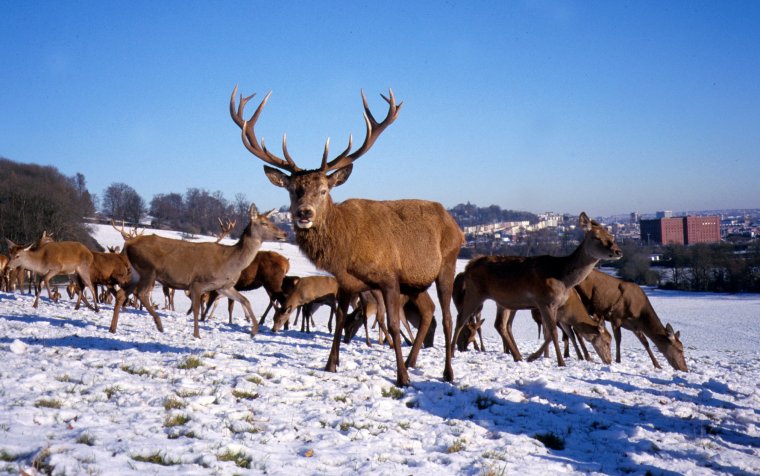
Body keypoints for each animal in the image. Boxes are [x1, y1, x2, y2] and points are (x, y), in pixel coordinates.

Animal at [108, 205, 284, 338]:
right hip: (148, 269)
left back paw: (113, 328)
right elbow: (197, 308)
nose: (284, 233)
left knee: (121, 293)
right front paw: (197, 334)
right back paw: (159, 325)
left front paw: (254, 331)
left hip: (135, 273)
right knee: (141, 293)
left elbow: (245, 300)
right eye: (264, 223)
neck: (230, 262)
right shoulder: (198, 282)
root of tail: (128, 244)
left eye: (270, 220)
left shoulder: (223, 286)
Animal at [229, 85, 464, 386]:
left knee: (447, 317)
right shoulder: (346, 282)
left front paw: (401, 378)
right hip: (416, 282)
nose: (304, 213)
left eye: (323, 190)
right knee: (428, 310)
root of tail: (455, 225)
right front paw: (331, 364)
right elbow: (340, 319)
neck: (347, 250)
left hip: (447, 263)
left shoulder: (389, 276)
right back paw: (413, 362)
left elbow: (393, 324)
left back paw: (447, 372)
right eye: (293, 190)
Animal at [452, 214, 624, 366]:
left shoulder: (553, 306)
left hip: (502, 301)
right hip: (475, 293)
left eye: (611, 236)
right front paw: (561, 362)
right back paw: (453, 352)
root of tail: (469, 266)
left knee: (500, 325)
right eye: (596, 237)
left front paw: (534, 357)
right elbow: (553, 332)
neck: (563, 279)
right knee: (461, 318)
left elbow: (551, 333)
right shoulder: (544, 301)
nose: (618, 251)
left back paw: (518, 357)